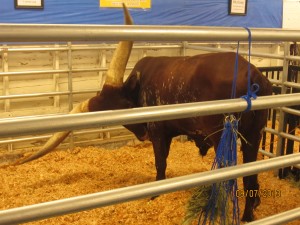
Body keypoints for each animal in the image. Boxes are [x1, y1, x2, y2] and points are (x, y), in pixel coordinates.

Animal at [13, 4, 272, 222]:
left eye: (125, 108)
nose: (141, 134)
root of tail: (252, 75)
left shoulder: (158, 132)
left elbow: (160, 164)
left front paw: (154, 195)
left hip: (222, 136)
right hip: (253, 135)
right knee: (251, 176)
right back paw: (248, 215)